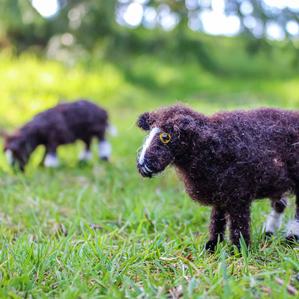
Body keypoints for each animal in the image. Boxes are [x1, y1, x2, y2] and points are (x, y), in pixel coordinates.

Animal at [137, 104, 299, 252]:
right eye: (148, 135)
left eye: (165, 137)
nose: (142, 165)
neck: (212, 146)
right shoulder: (219, 192)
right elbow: (217, 220)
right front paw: (212, 245)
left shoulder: (239, 194)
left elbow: (239, 224)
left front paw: (240, 250)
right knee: (281, 203)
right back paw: (270, 232)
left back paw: (292, 237)